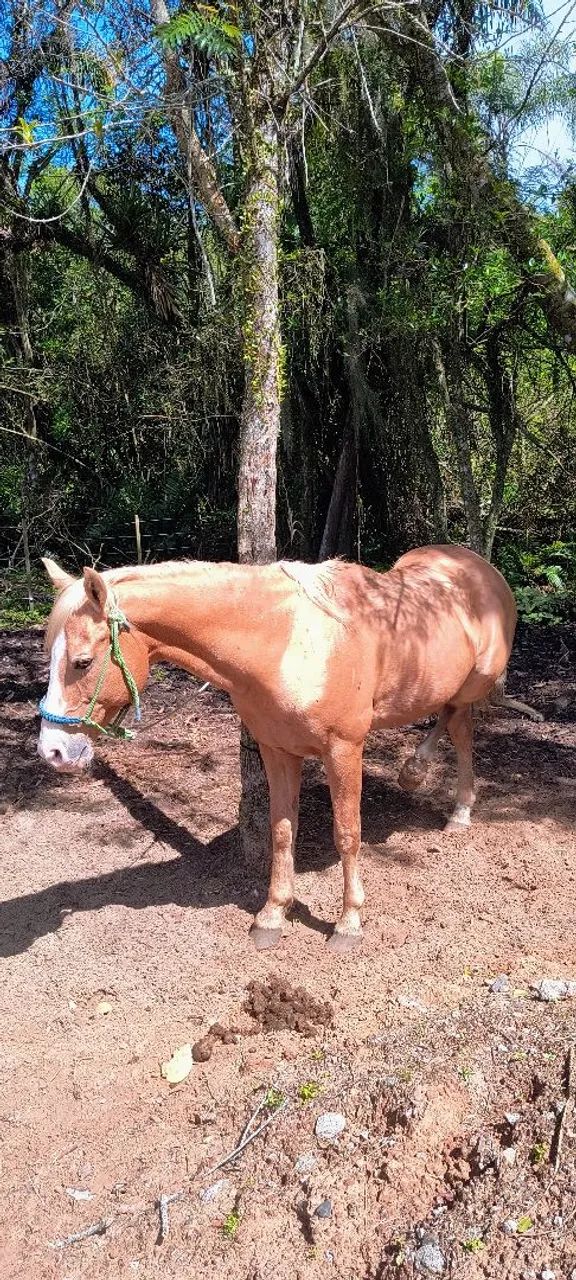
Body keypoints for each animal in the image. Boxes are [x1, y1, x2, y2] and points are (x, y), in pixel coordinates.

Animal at [37, 545, 518, 953]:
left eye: (82, 661)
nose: (52, 750)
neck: (286, 643)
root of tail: (482, 569)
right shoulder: (277, 749)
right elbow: (283, 831)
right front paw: (272, 915)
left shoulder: (344, 751)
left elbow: (347, 835)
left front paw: (348, 924)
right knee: (449, 721)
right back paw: (417, 773)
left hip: (471, 685)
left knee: (460, 729)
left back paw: (457, 808)